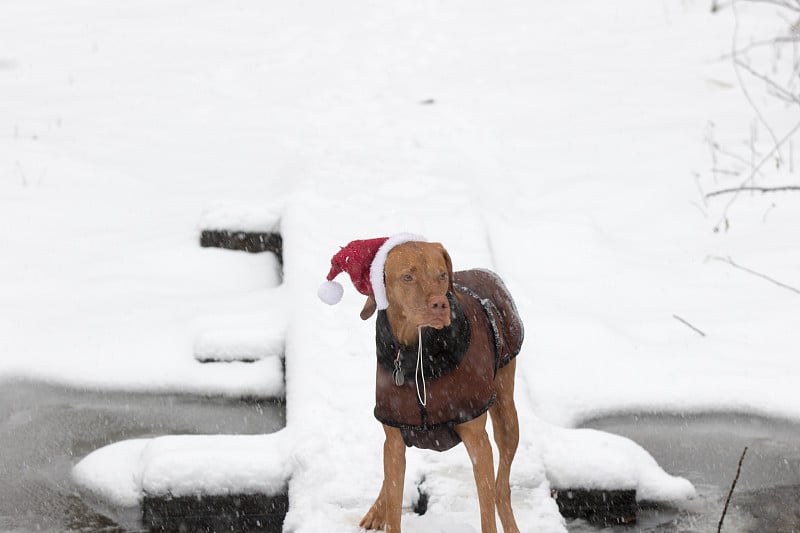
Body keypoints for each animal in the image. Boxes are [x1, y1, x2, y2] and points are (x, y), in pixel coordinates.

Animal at [356, 242, 524, 532]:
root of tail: (484, 272)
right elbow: (393, 503)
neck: (419, 356)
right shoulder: (394, 437)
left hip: (506, 412)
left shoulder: (478, 442)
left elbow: (487, 509)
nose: (440, 303)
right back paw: (377, 509)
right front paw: (384, 511)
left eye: (442, 275)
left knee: (501, 487)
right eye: (407, 277)